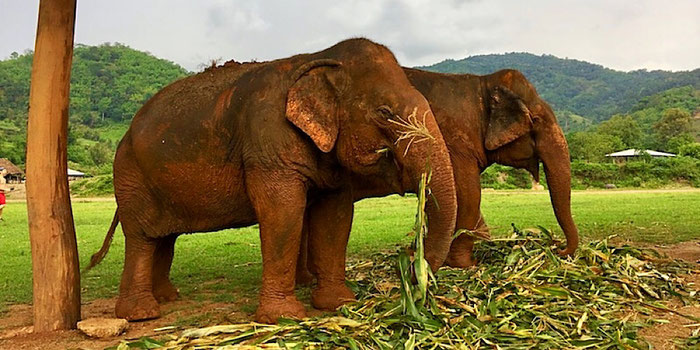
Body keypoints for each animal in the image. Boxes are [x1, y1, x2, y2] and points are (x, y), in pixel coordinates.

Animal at [86, 37, 460, 322]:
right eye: (384, 112)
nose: (410, 266)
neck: (318, 59)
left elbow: (336, 217)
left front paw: (339, 303)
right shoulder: (267, 143)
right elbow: (283, 212)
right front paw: (283, 317)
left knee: (164, 237)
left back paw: (167, 298)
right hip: (130, 176)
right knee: (141, 237)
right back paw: (142, 313)